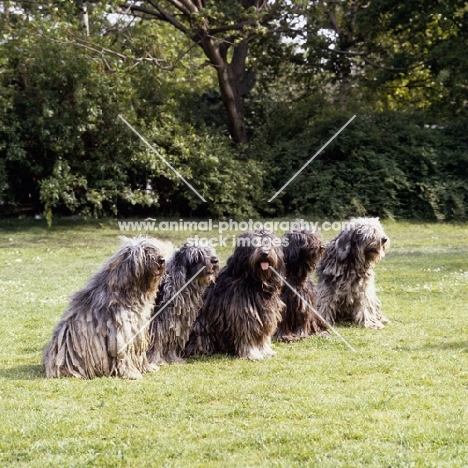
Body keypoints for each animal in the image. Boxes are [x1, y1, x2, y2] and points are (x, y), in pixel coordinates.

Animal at [42, 238, 166, 380]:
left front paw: (147, 367)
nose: (162, 259)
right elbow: (124, 355)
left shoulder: (138, 330)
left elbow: (138, 353)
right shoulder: (122, 332)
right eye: (145, 251)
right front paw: (132, 373)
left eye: (154, 248)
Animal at [183, 230, 286, 362]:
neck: (255, 282)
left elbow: (263, 336)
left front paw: (266, 351)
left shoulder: (265, 316)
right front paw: (252, 354)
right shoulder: (244, 315)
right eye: (254, 243)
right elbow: (248, 335)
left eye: (269, 242)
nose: (265, 253)